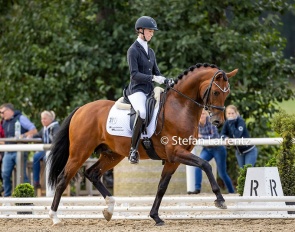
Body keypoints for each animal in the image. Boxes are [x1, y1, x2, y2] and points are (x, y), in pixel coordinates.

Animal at [48, 62, 238, 226]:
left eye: (227, 93)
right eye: (215, 92)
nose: (217, 122)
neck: (180, 107)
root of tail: (81, 109)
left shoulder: (173, 159)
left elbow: (162, 187)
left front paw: (155, 217)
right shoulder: (176, 152)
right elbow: (205, 165)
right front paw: (220, 200)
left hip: (112, 154)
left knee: (92, 173)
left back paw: (109, 209)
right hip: (80, 152)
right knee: (63, 179)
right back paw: (55, 217)